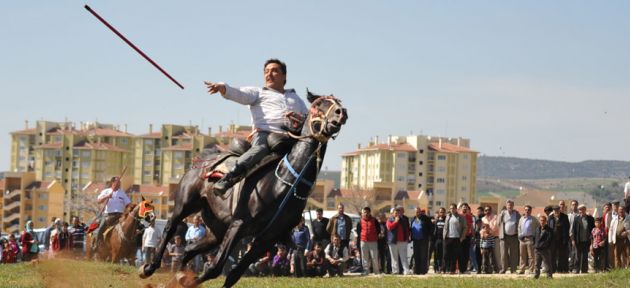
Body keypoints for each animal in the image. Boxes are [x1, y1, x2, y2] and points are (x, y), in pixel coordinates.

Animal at [139, 91, 348, 286]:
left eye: (338, 102)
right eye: (321, 104)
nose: (341, 113)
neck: (285, 183)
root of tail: (202, 161)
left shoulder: (267, 238)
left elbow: (233, 274)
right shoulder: (239, 225)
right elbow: (215, 268)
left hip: (216, 229)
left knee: (189, 250)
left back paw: (177, 276)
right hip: (185, 205)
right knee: (170, 228)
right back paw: (148, 268)